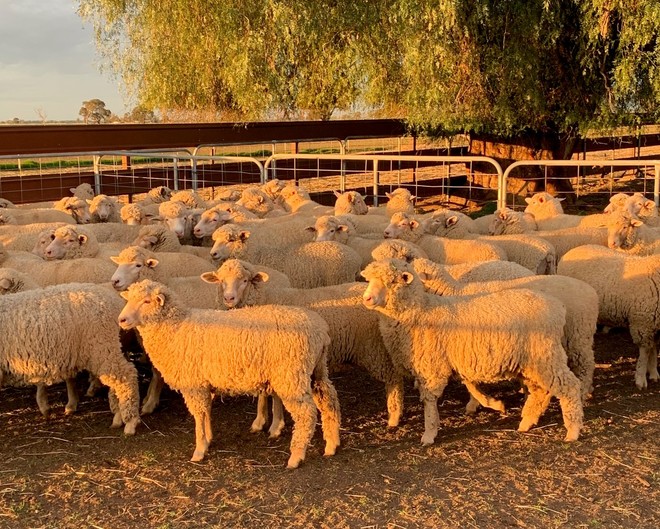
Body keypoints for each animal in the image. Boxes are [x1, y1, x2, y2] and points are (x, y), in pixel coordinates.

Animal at [0, 282, 140, 434]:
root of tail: (113, 299)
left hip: (101, 345)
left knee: (125, 376)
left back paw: (130, 422)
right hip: (107, 348)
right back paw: (118, 416)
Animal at [118, 279, 341, 467]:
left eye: (147, 301)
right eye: (128, 299)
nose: (122, 320)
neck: (175, 327)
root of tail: (321, 330)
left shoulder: (194, 384)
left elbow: (199, 415)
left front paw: (199, 450)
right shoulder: (204, 384)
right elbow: (206, 412)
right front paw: (208, 439)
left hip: (291, 374)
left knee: (306, 413)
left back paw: (296, 456)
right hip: (316, 370)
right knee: (329, 400)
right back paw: (331, 444)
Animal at [203, 259, 405, 432]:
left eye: (244, 280)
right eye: (221, 280)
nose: (229, 298)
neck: (263, 299)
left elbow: (275, 395)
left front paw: (276, 425)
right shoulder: (261, 357)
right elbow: (262, 393)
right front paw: (260, 421)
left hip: (373, 346)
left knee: (393, 377)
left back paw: (394, 416)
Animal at [209, 224, 362, 289]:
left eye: (230, 240)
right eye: (214, 239)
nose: (213, 253)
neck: (256, 254)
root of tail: (355, 257)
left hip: (340, 278)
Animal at [558, 245, 660, 389]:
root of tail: (572, 251)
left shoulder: (654, 323)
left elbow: (654, 349)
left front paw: (653, 373)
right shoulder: (642, 322)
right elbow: (645, 352)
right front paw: (640, 379)